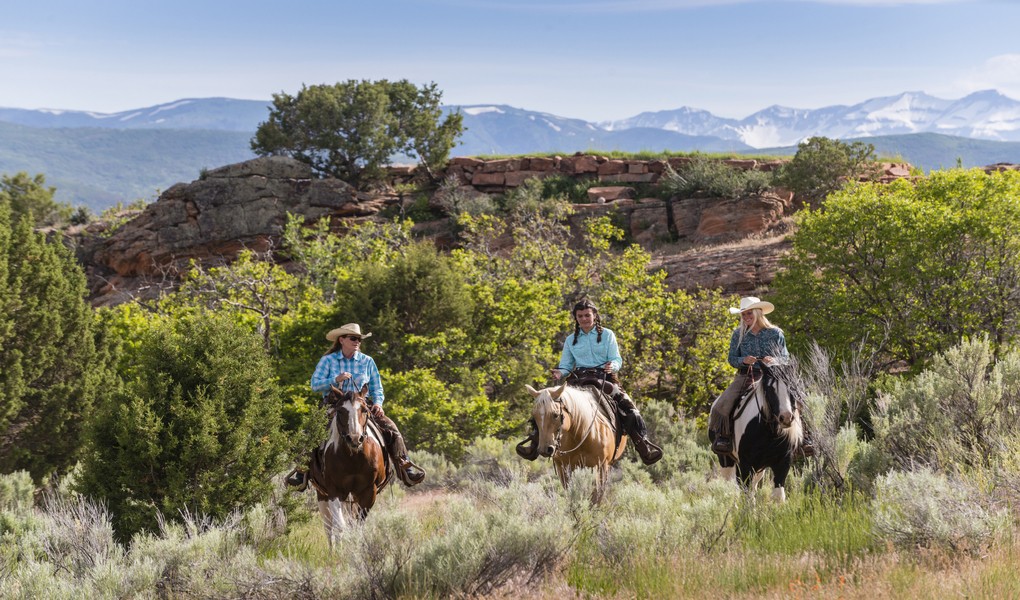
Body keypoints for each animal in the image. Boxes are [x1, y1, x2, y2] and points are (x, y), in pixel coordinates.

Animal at [306, 383, 389, 546]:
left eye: (364, 410)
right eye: (341, 411)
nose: (355, 438)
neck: (353, 458)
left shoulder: (368, 492)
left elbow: (358, 526)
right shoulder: (334, 492)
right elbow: (340, 526)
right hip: (322, 495)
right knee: (329, 527)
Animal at [714, 365, 799, 502]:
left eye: (791, 386)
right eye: (770, 388)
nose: (786, 417)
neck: (769, 434)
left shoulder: (783, 462)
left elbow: (778, 495)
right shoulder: (746, 464)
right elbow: (746, 494)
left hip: (759, 469)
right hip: (726, 460)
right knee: (730, 486)